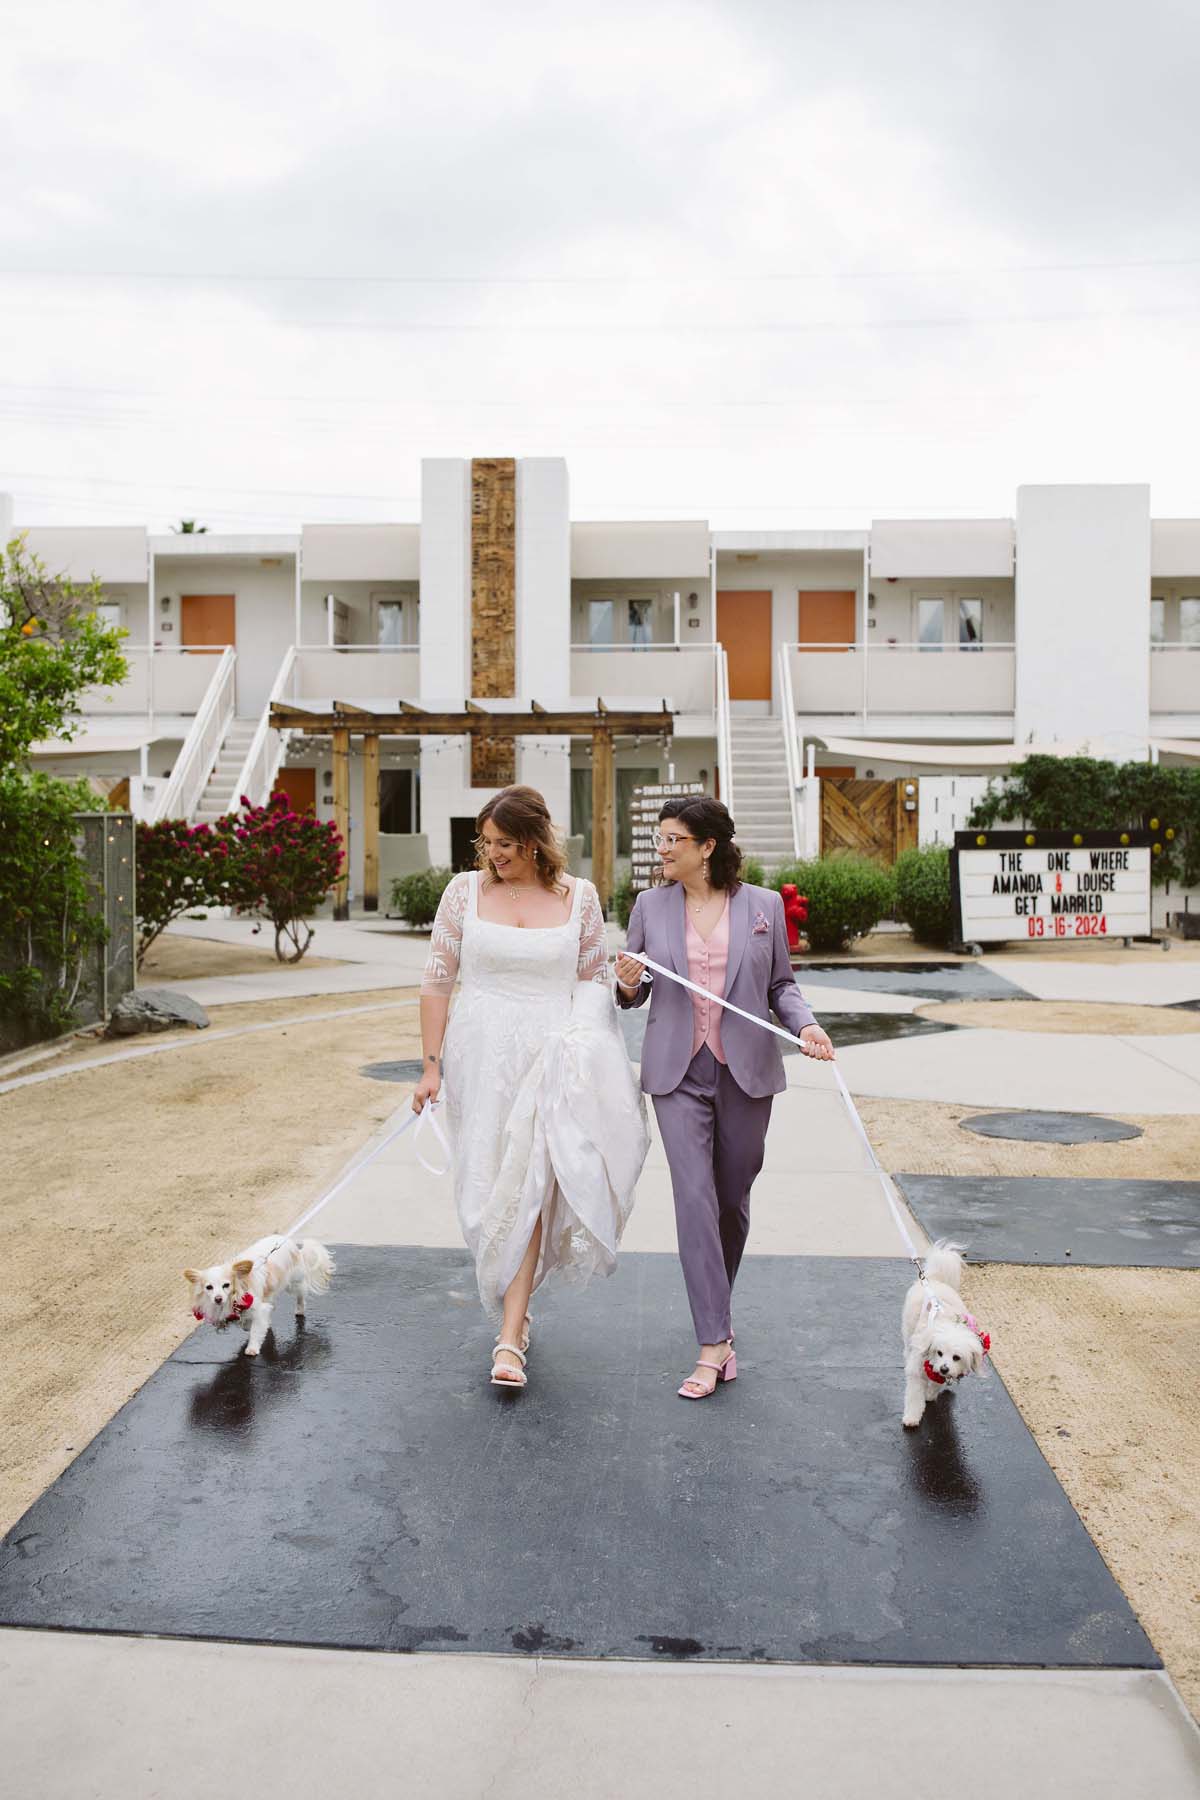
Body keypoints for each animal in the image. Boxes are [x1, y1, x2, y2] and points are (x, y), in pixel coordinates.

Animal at [183, 1231, 336, 1353]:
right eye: (209, 1287)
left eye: (226, 1285)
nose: (218, 1298)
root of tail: (291, 1244)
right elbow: (247, 1324)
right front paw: (250, 1325)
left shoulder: (258, 1308)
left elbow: (256, 1330)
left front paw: (252, 1349)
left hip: (293, 1283)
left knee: (301, 1296)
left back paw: (299, 1310)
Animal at [906, 1245, 993, 1425]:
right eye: (939, 1352)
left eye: (956, 1357)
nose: (944, 1368)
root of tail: (934, 1279)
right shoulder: (917, 1369)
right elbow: (914, 1396)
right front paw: (911, 1417)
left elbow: (936, 1384)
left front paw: (930, 1395)